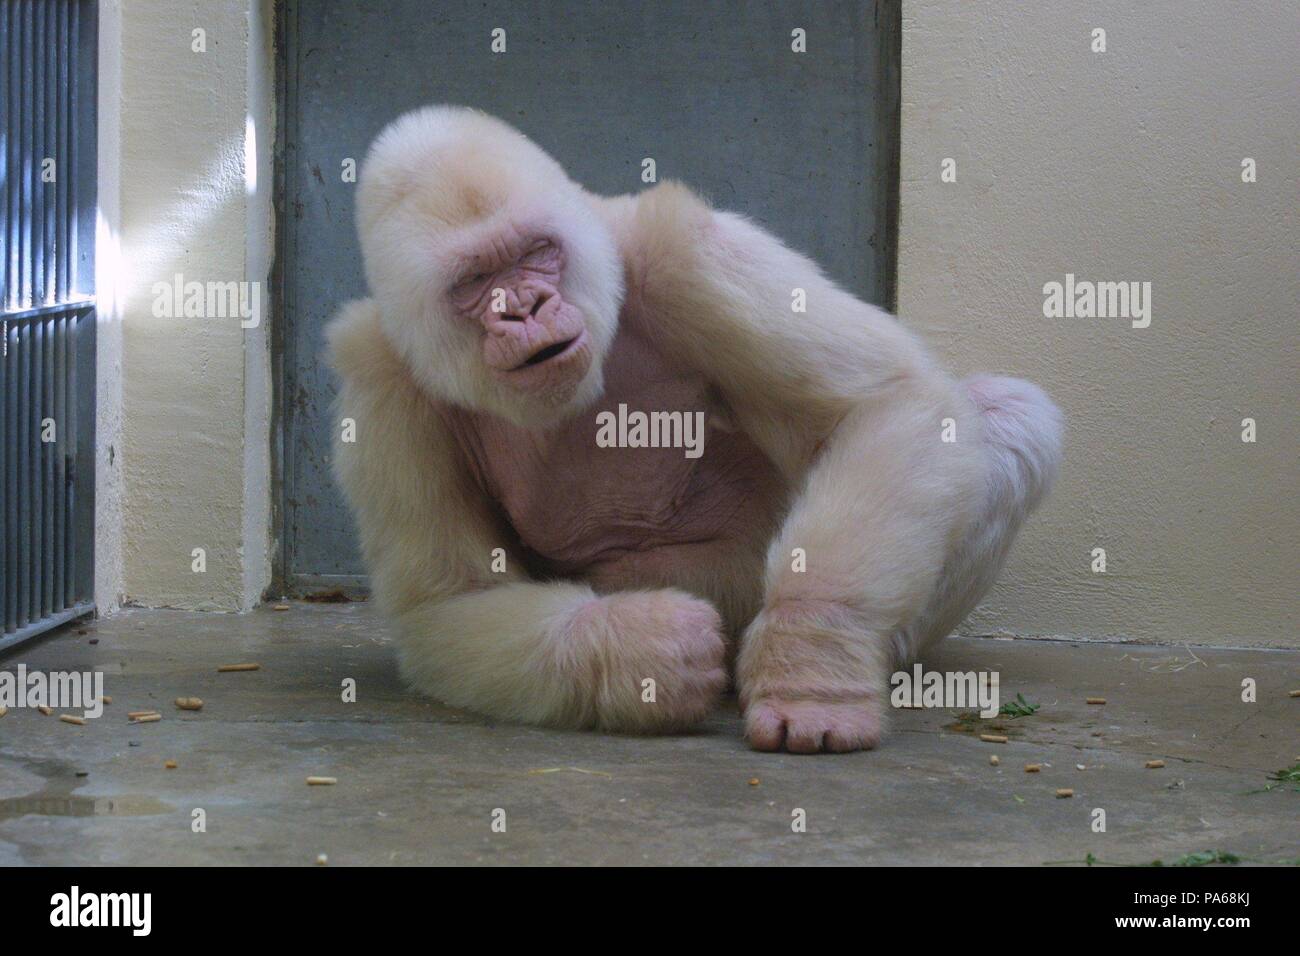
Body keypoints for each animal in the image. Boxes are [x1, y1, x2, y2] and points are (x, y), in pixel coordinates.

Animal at [322, 106, 1055, 754]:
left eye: (536, 252)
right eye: (476, 279)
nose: (526, 307)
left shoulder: (679, 250)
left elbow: (885, 405)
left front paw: (813, 662)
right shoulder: (383, 384)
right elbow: (450, 602)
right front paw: (632, 652)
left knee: (1008, 418)